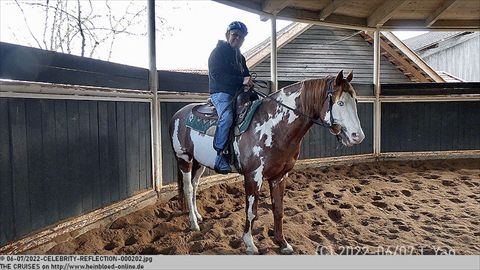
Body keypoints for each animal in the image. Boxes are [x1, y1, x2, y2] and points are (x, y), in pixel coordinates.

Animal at [169, 70, 364, 254]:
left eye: (355, 101)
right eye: (340, 103)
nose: (358, 136)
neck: (273, 127)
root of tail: (178, 114)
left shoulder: (280, 176)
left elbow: (278, 210)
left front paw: (282, 243)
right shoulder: (253, 176)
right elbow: (251, 211)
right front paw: (249, 244)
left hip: (199, 163)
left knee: (195, 186)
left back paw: (198, 215)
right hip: (184, 158)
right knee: (188, 188)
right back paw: (193, 223)